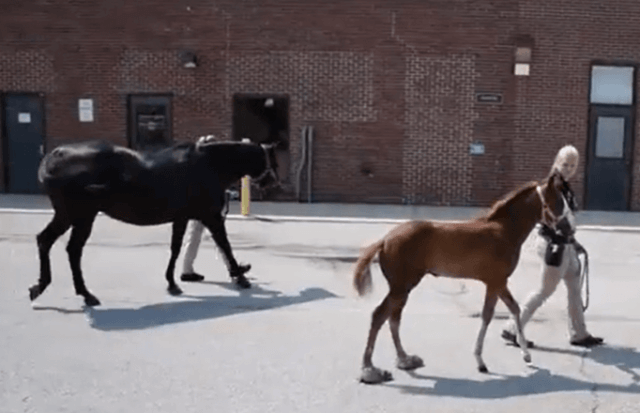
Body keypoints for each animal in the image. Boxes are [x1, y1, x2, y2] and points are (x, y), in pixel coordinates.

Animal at [29, 138, 280, 307]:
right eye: (272, 160)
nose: (273, 182)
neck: (209, 165)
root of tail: (54, 157)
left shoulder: (183, 217)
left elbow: (176, 248)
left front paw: (172, 283)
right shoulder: (211, 216)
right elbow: (225, 245)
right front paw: (241, 276)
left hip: (72, 216)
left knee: (53, 243)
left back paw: (48, 288)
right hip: (79, 216)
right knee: (66, 248)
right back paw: (79, 293)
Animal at [352, 171, 569, 384]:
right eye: (557, 201)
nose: (567, 230)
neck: (504, 231)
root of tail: (384, 240)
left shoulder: (500, 282)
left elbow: (514, 308)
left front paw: (526, 355)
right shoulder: (495, 282)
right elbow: (487, 315)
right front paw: (480, 362)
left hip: (403, 288)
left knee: (394, 318)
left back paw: (404, 359)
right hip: (401, 287)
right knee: (379, 315)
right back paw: (369, 369)